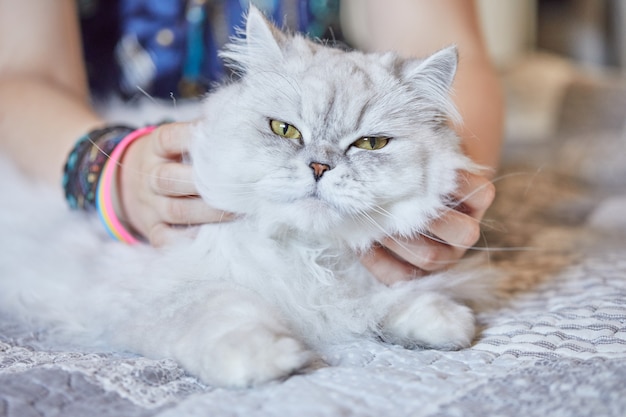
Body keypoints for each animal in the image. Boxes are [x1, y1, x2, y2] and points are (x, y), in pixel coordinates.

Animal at [0, 6, 488, 388]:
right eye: (285, 130)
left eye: (370, 145)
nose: (319, 168)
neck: (307, 252)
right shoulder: (143, 289)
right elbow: (226, 310)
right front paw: (271, 357)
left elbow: (386, 302)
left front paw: (444, 323)